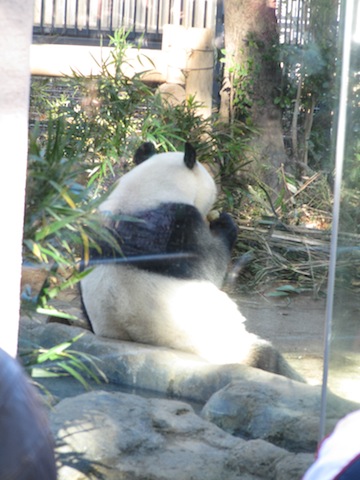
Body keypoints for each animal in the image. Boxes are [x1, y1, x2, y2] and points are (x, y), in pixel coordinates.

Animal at [80, 141, 302, 380]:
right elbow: (210, 264)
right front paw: (224, 224)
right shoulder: (181, 224)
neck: (146, 191)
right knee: (266, 356)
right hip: (220, 342)